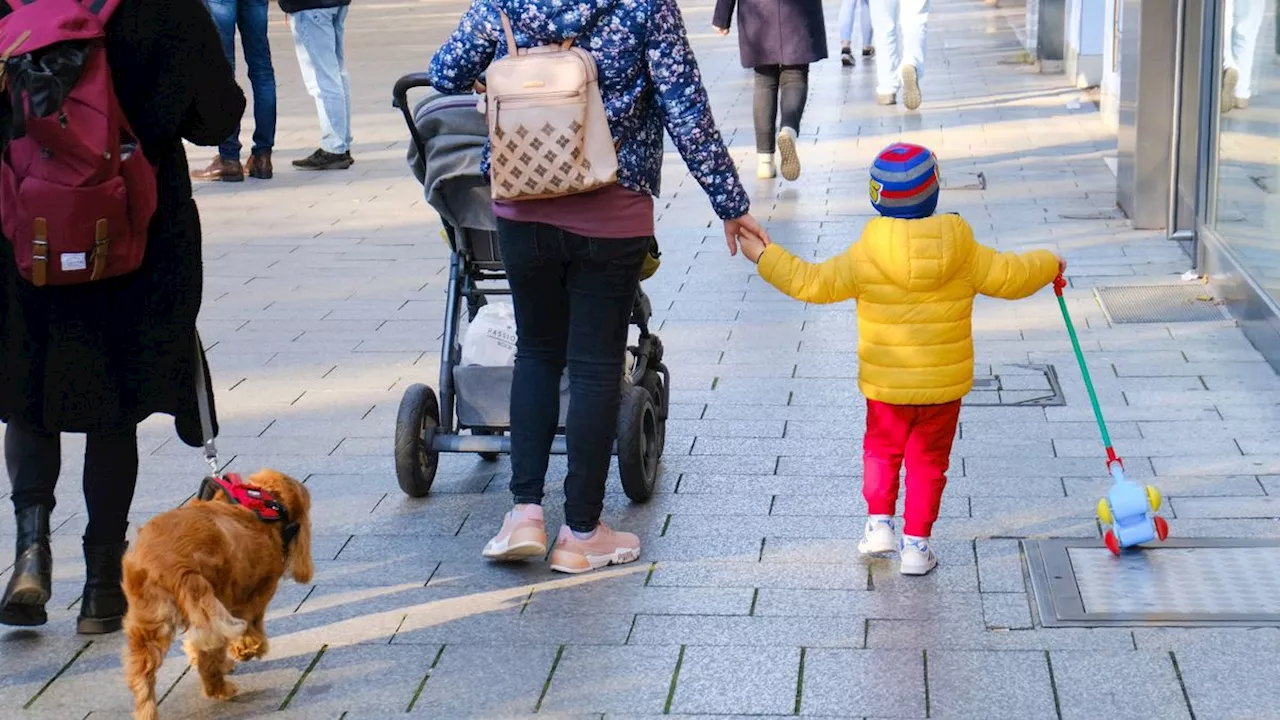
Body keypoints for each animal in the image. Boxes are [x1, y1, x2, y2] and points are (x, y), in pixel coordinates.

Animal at [120, 468, 313, 712]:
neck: (259, 500)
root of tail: (176, 564)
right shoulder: (254, 596)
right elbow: (251, 626)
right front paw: (251, 648)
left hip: (152, 621)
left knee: (143, 675)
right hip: (210, 603)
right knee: (209, 661)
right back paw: (223, 689)